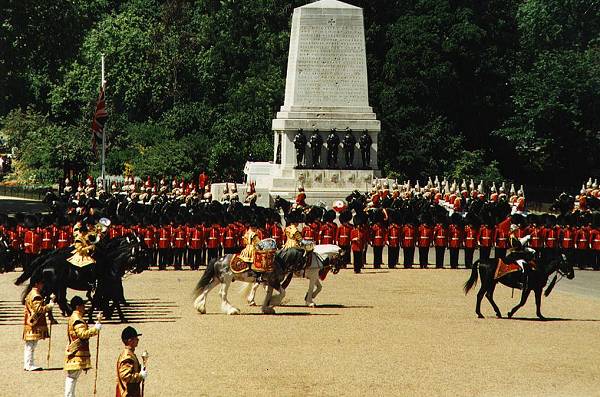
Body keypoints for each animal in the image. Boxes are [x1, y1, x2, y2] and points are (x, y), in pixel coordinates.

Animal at [15, 235, 145, 322]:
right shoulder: (104, 286)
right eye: (140, 254)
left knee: (53, 299)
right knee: (49, 300)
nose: (141, 268)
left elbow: (108, 299)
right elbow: (111, 299)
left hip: (56, 285)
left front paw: (106, 312)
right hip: (53, 286)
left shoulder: (106, 286)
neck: (110, 263)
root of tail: (46, 262)